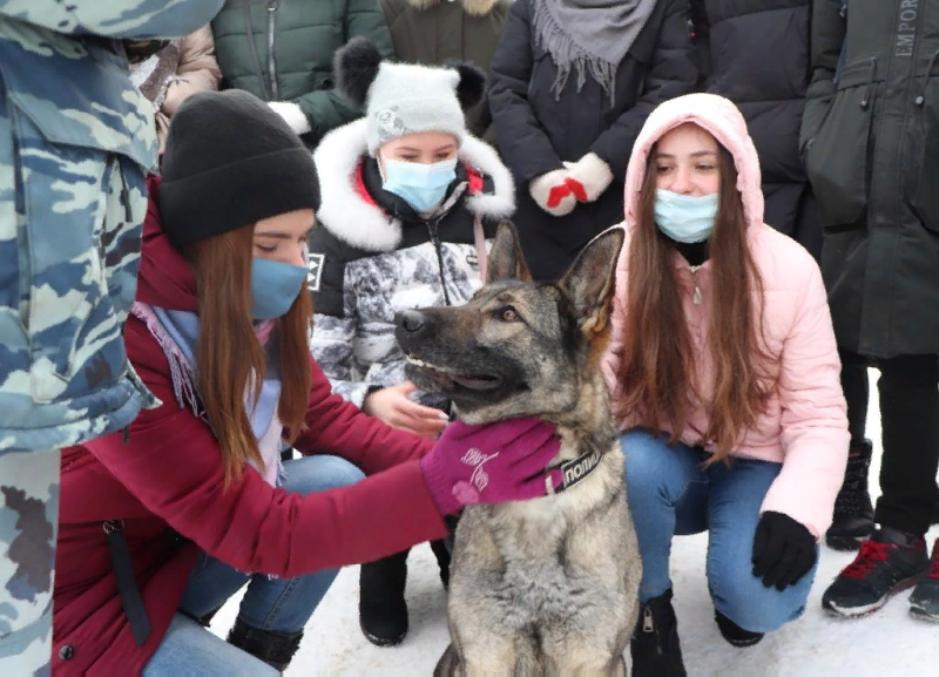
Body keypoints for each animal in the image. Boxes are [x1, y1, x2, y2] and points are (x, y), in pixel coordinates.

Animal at [392, 223, 644, 676]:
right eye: (471, 299)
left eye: (508, 315)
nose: (403, 319)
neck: (536, 492)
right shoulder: (484, 655)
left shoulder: (594, 660)